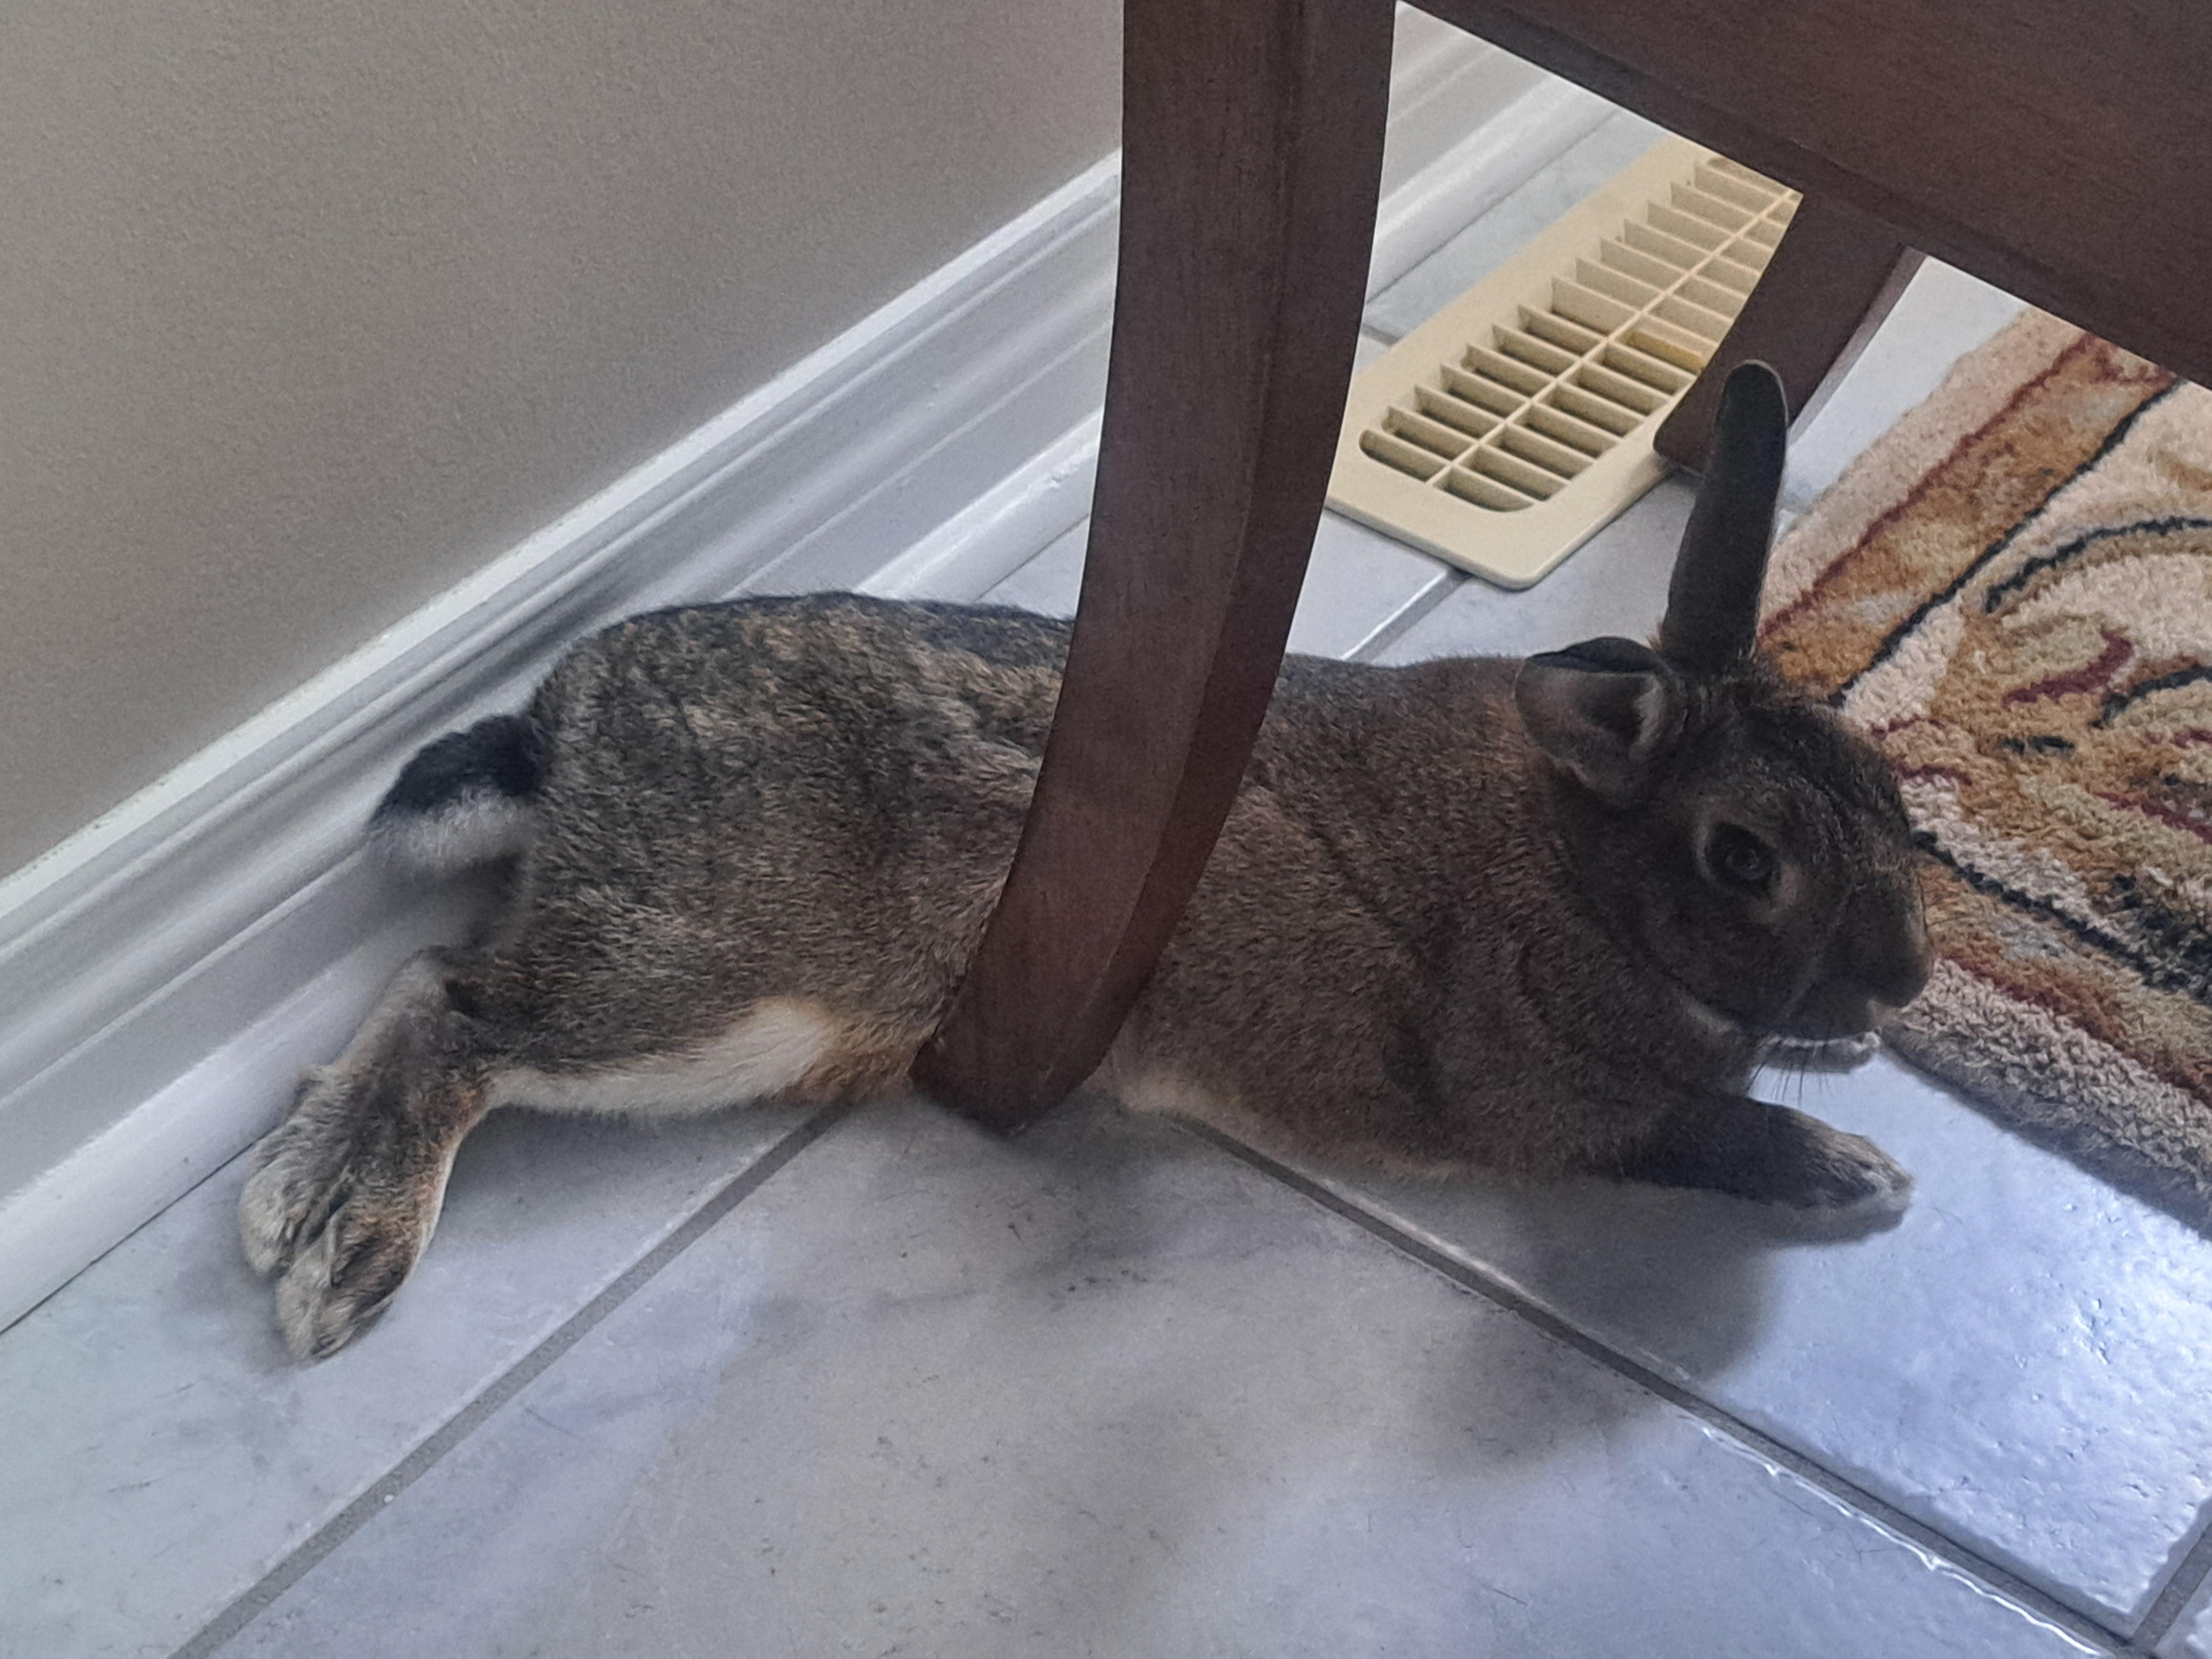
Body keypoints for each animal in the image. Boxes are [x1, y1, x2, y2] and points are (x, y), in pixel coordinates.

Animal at [239, 361, 1932, 1359]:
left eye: (1892, 788)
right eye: (1743, 858)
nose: (1904, 985)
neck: (1588, 861)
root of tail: (561, 729)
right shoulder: (1543, 1093)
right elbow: (1688, 1132)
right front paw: (1854, 1169)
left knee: (428, 975)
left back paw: (289, 1199)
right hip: (733, 986)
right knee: (462, 1008)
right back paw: (338, 1252)